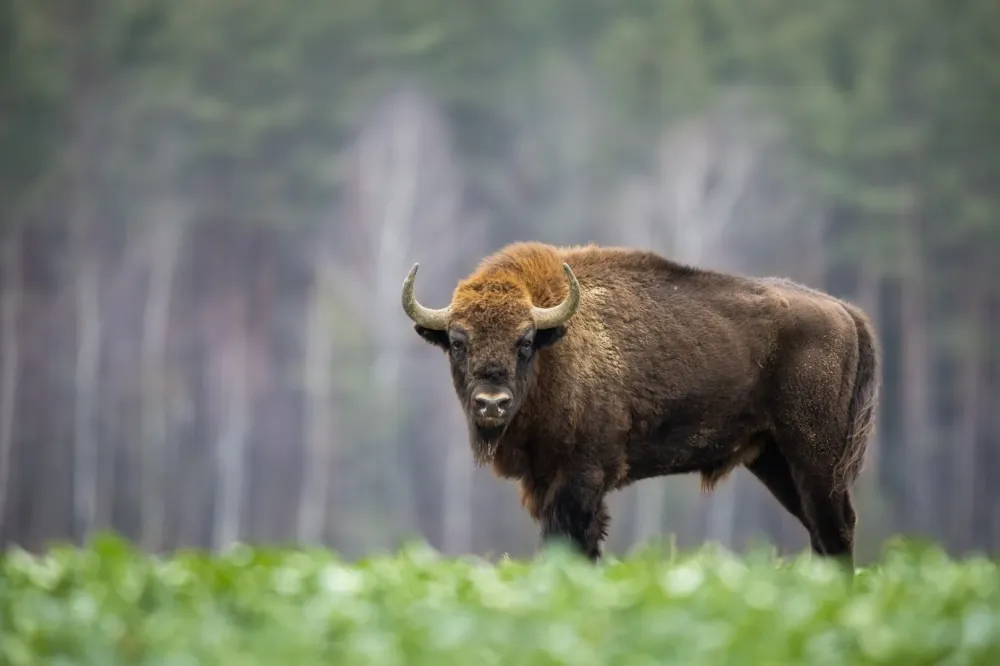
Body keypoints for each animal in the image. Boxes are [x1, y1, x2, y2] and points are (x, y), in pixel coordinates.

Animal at [401, 241, 879, 567]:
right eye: (458, 342)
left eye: (525, 342)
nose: (491, 404)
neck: (556, 346)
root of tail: (846, 312)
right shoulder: (543, 480)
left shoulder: (582, 477)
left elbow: (576, 542)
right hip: (774, 460)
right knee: (819, 528)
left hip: (816, 456)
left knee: (837, 526)